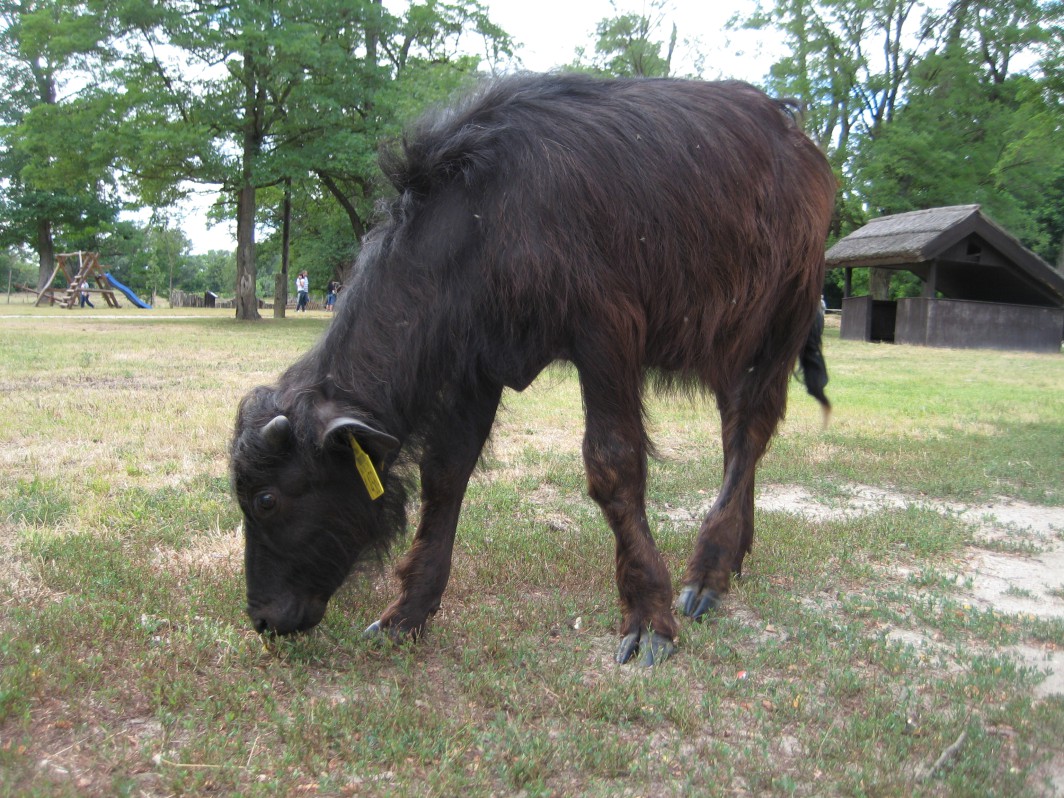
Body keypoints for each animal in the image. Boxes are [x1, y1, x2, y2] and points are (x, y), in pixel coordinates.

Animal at [230, 73, 835, 667]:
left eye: (266, 500)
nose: (263, 617)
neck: (486, 216)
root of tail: (798, 140)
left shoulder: (606, 332)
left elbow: (613, 465)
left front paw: (648, 616)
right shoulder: (476, 363)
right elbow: (445, 473)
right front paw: (408, 613)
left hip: (782, 320)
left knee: (752, 428)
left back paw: (708, 570)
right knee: (738, 434)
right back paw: (733, 555)